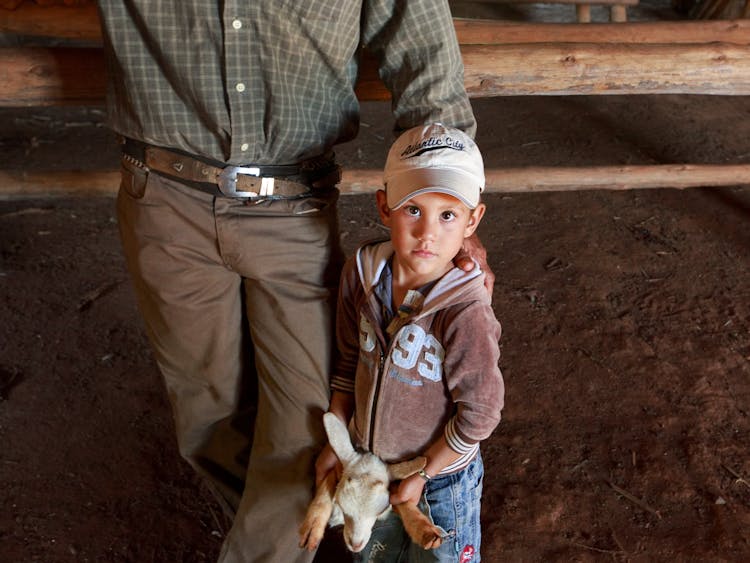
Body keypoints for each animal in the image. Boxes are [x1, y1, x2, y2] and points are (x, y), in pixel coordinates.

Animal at [300, 412, 444, 552]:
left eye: (381, 510)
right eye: (342, 506)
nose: (355, 545)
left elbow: (402, 501)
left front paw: (426, 532)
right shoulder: (336, 470)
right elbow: (324, 490)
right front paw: (311, 530)